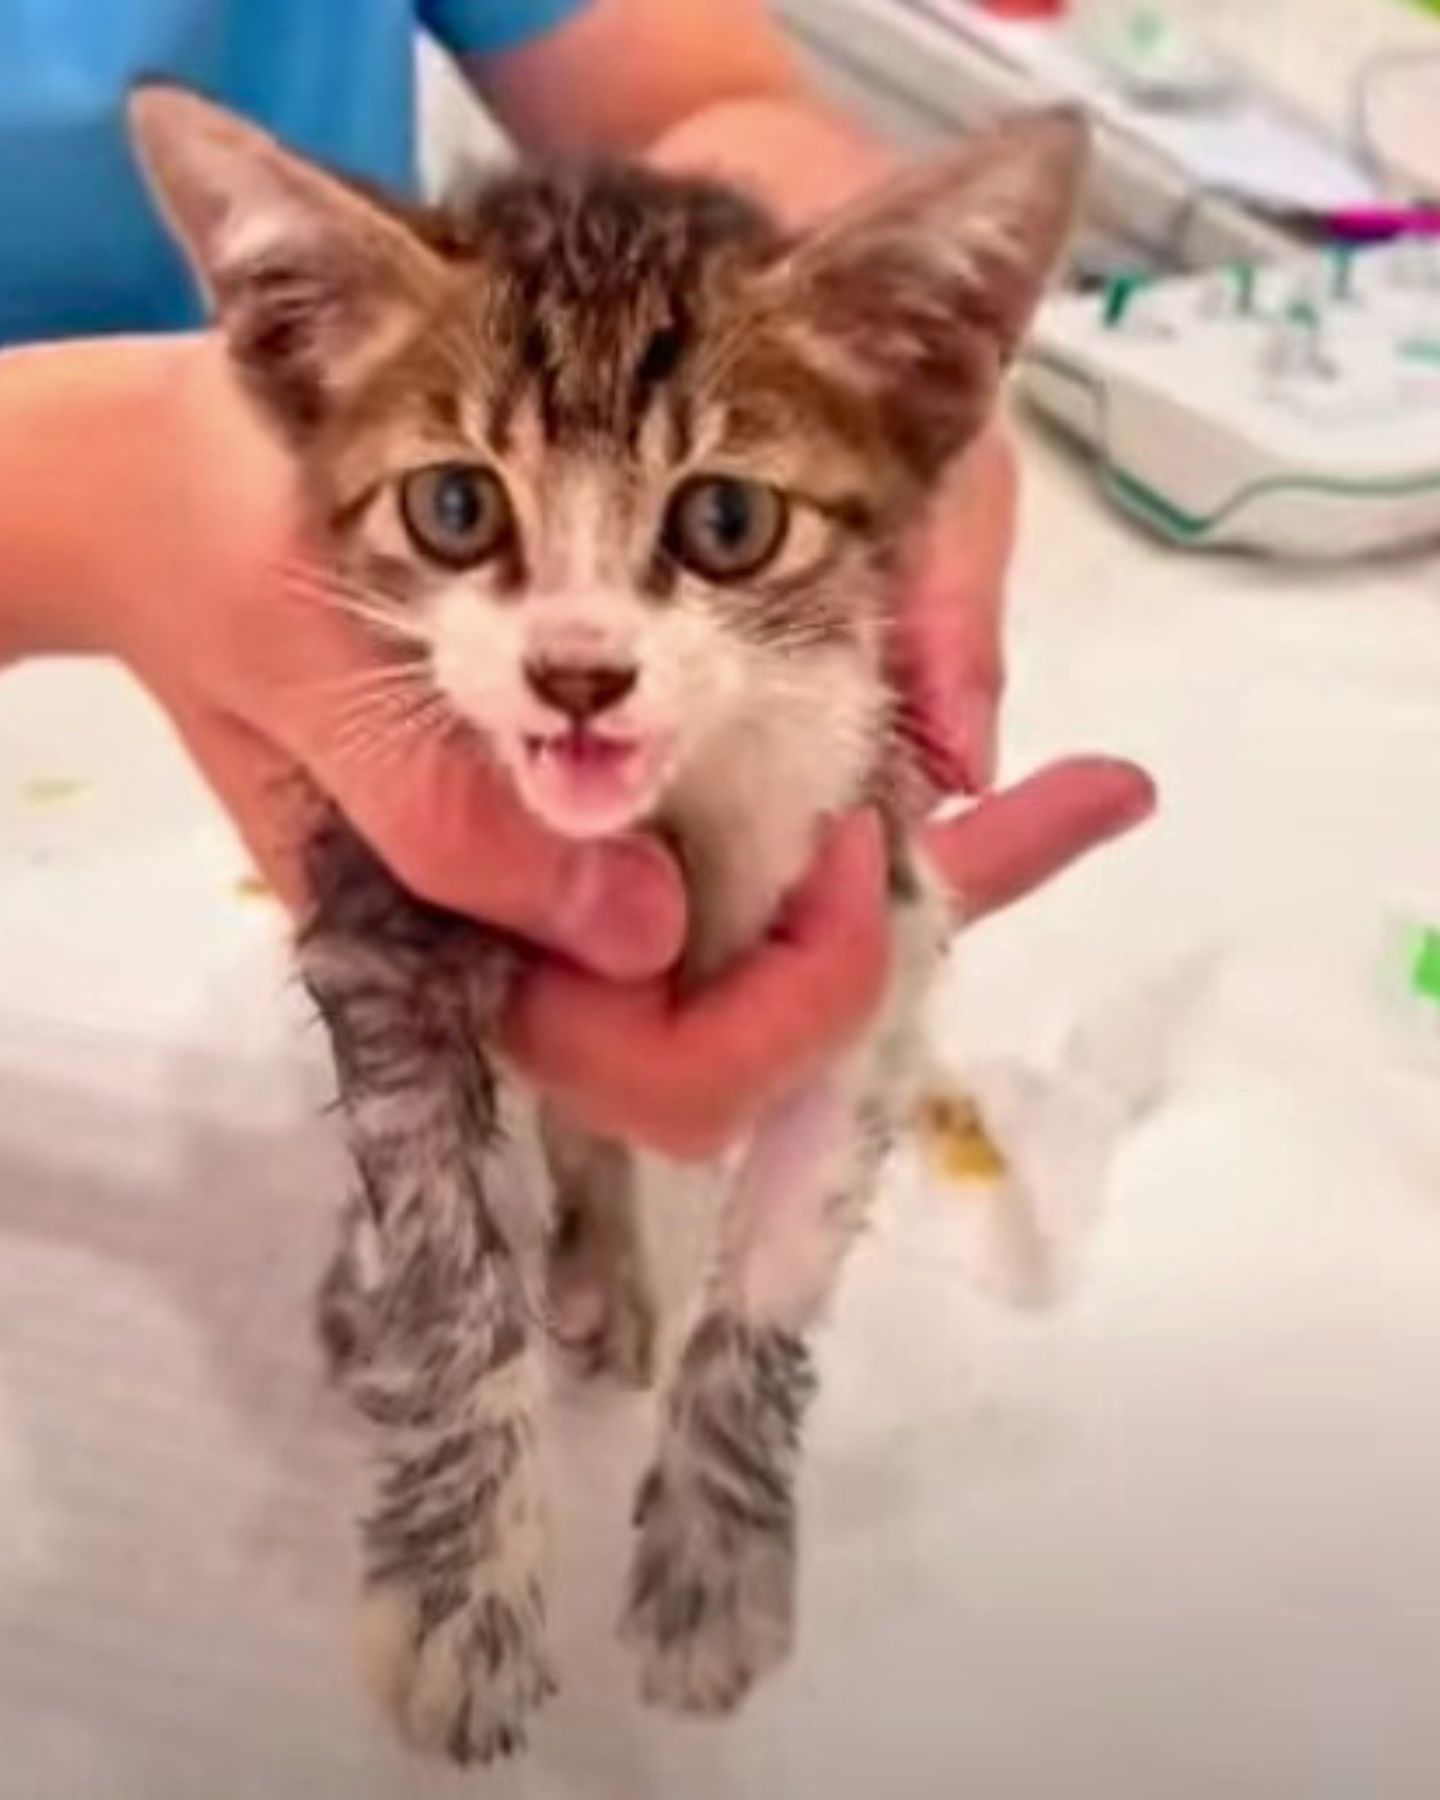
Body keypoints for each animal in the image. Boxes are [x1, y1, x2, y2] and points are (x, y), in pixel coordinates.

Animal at [129, 84, 1087, 1756]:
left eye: (726, 520)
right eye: (455, 507)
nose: (578, 672)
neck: (668, 827)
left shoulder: (880, 899)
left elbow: (771, 1290)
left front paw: (717, 1565)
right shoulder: (381, 906)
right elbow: (450, 1269)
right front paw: (458, 1597)